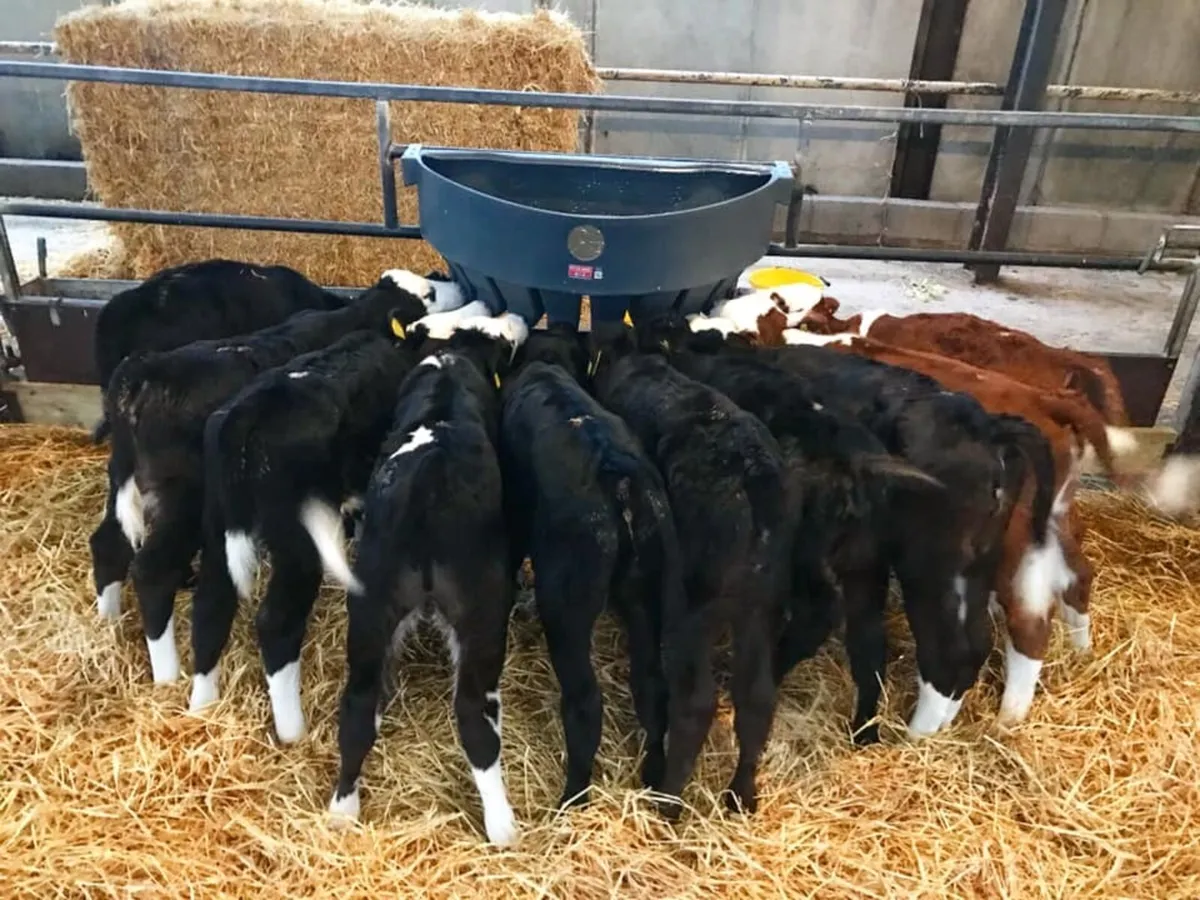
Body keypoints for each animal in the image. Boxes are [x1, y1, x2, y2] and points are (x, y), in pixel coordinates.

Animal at [90, 270, 436, 686]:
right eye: (426, 302)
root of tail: (141, 374)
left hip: (125, 482)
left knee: (109, 543)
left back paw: (108, 624)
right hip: (183, 502)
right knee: (153, 571)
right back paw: (167, 672)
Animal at [302, 315, 529, 846]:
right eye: (500, 340)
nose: (516, 323)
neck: (449, 357)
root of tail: (424, 494)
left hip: (370, 612)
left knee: (358, 707)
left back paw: (342, 811)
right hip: (483, 614)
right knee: (474, 717)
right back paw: (503, 827)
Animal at [497, 323, 685, 807]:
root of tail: (619, 478)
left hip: (568, 604)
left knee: (585, 702)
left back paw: (572, 797)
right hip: (646, 594)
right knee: (651, 685)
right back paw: (652, 776)